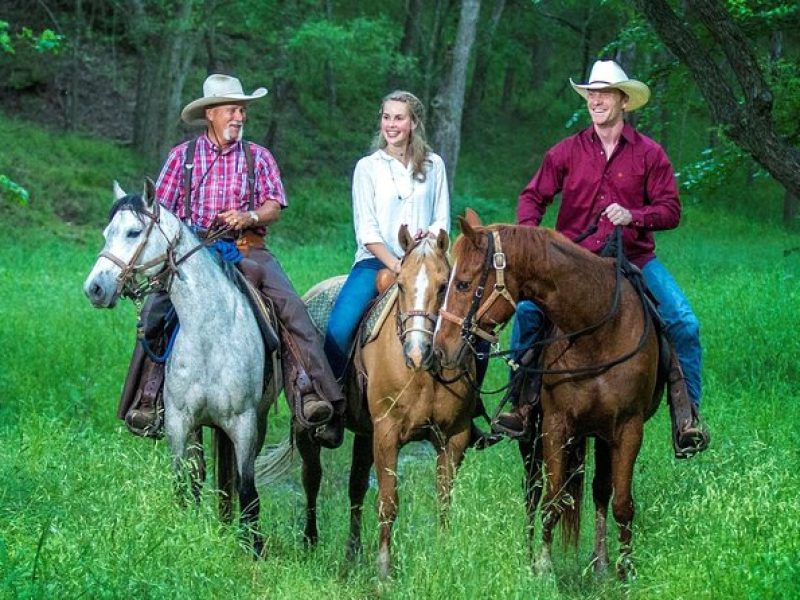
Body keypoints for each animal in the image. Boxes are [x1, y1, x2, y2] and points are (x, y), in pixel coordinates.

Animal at [83, 179, 278, 556]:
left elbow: (247, 486)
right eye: (106, 233)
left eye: (133, 232)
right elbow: (183, 481)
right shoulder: (179, 420)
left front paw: (253, 547)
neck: (210, 333)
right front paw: (185, 529)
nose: (95, 288)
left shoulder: (244, 422)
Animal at [292, 225, 476, 576]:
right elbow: (388, 502)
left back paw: (352, 554)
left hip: (366, 434)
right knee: (311, 478)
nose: (418, 351)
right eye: (401, 284)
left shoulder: (453, 437)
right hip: (305, 428)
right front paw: (383, 570)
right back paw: (309, 542)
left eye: (444, 286)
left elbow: (445, 499)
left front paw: (444, 554)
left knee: (355, 487)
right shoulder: (388, 434)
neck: (423, 374)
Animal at [438, 210, 664, 576]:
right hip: (533, 442)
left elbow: (622, 503)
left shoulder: (629, 428)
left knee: (600, 490)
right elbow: (553, 500)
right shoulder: (555, 425)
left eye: (462, 284)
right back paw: (531, 554)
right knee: (533, 493)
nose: (440, 347)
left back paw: (600, 562)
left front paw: (625, 569)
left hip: (602, 435)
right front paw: (543, 566)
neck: (597, 329)